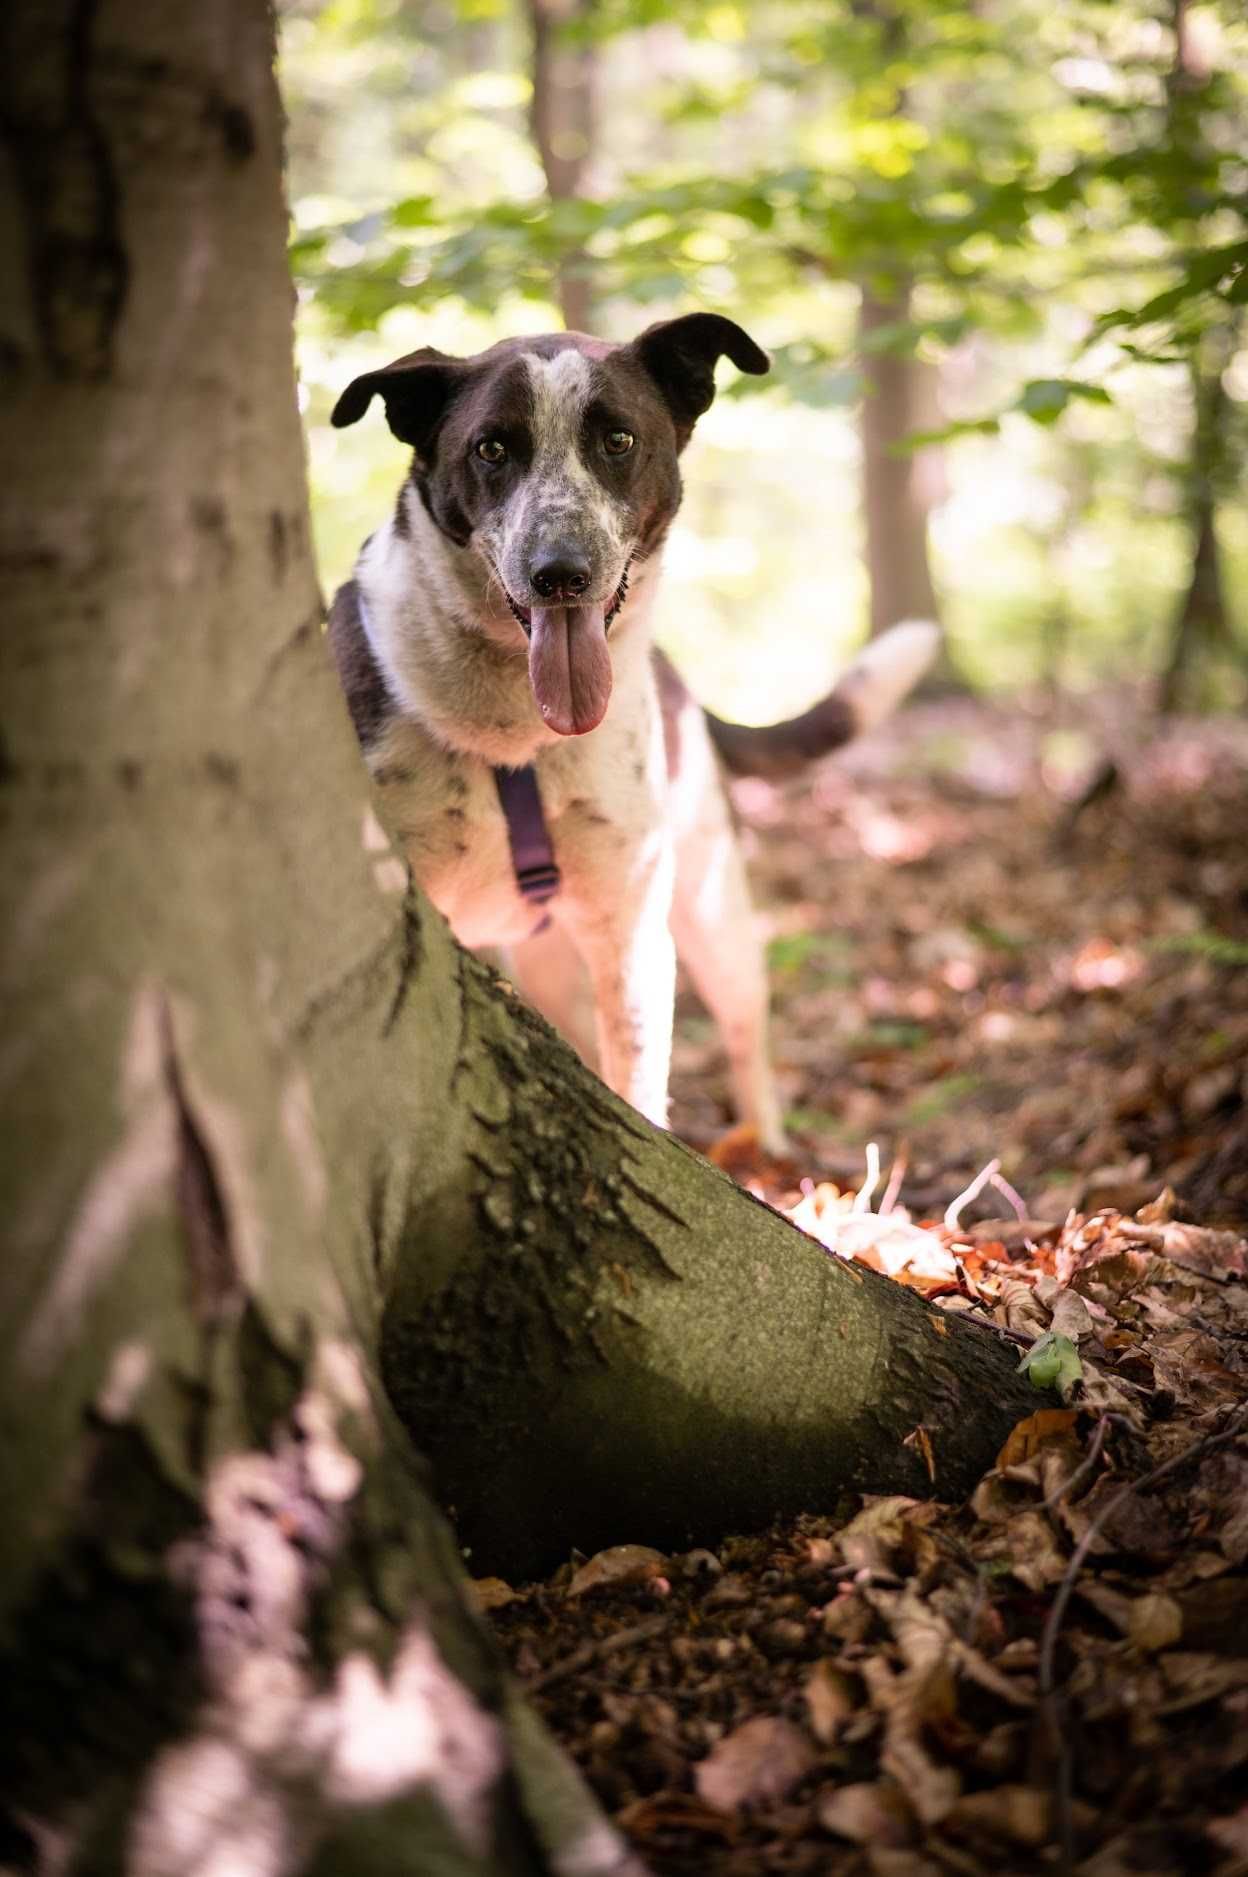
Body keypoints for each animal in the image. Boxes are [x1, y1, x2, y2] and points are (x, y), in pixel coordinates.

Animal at [326, 315, 930, 1148]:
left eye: (618, 439)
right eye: (490, 448)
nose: (560, 573)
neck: (514, 734)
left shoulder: (633, 925)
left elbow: (638, 1085)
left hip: (713, 910)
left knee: (747, 1030)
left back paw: (770, 1153)